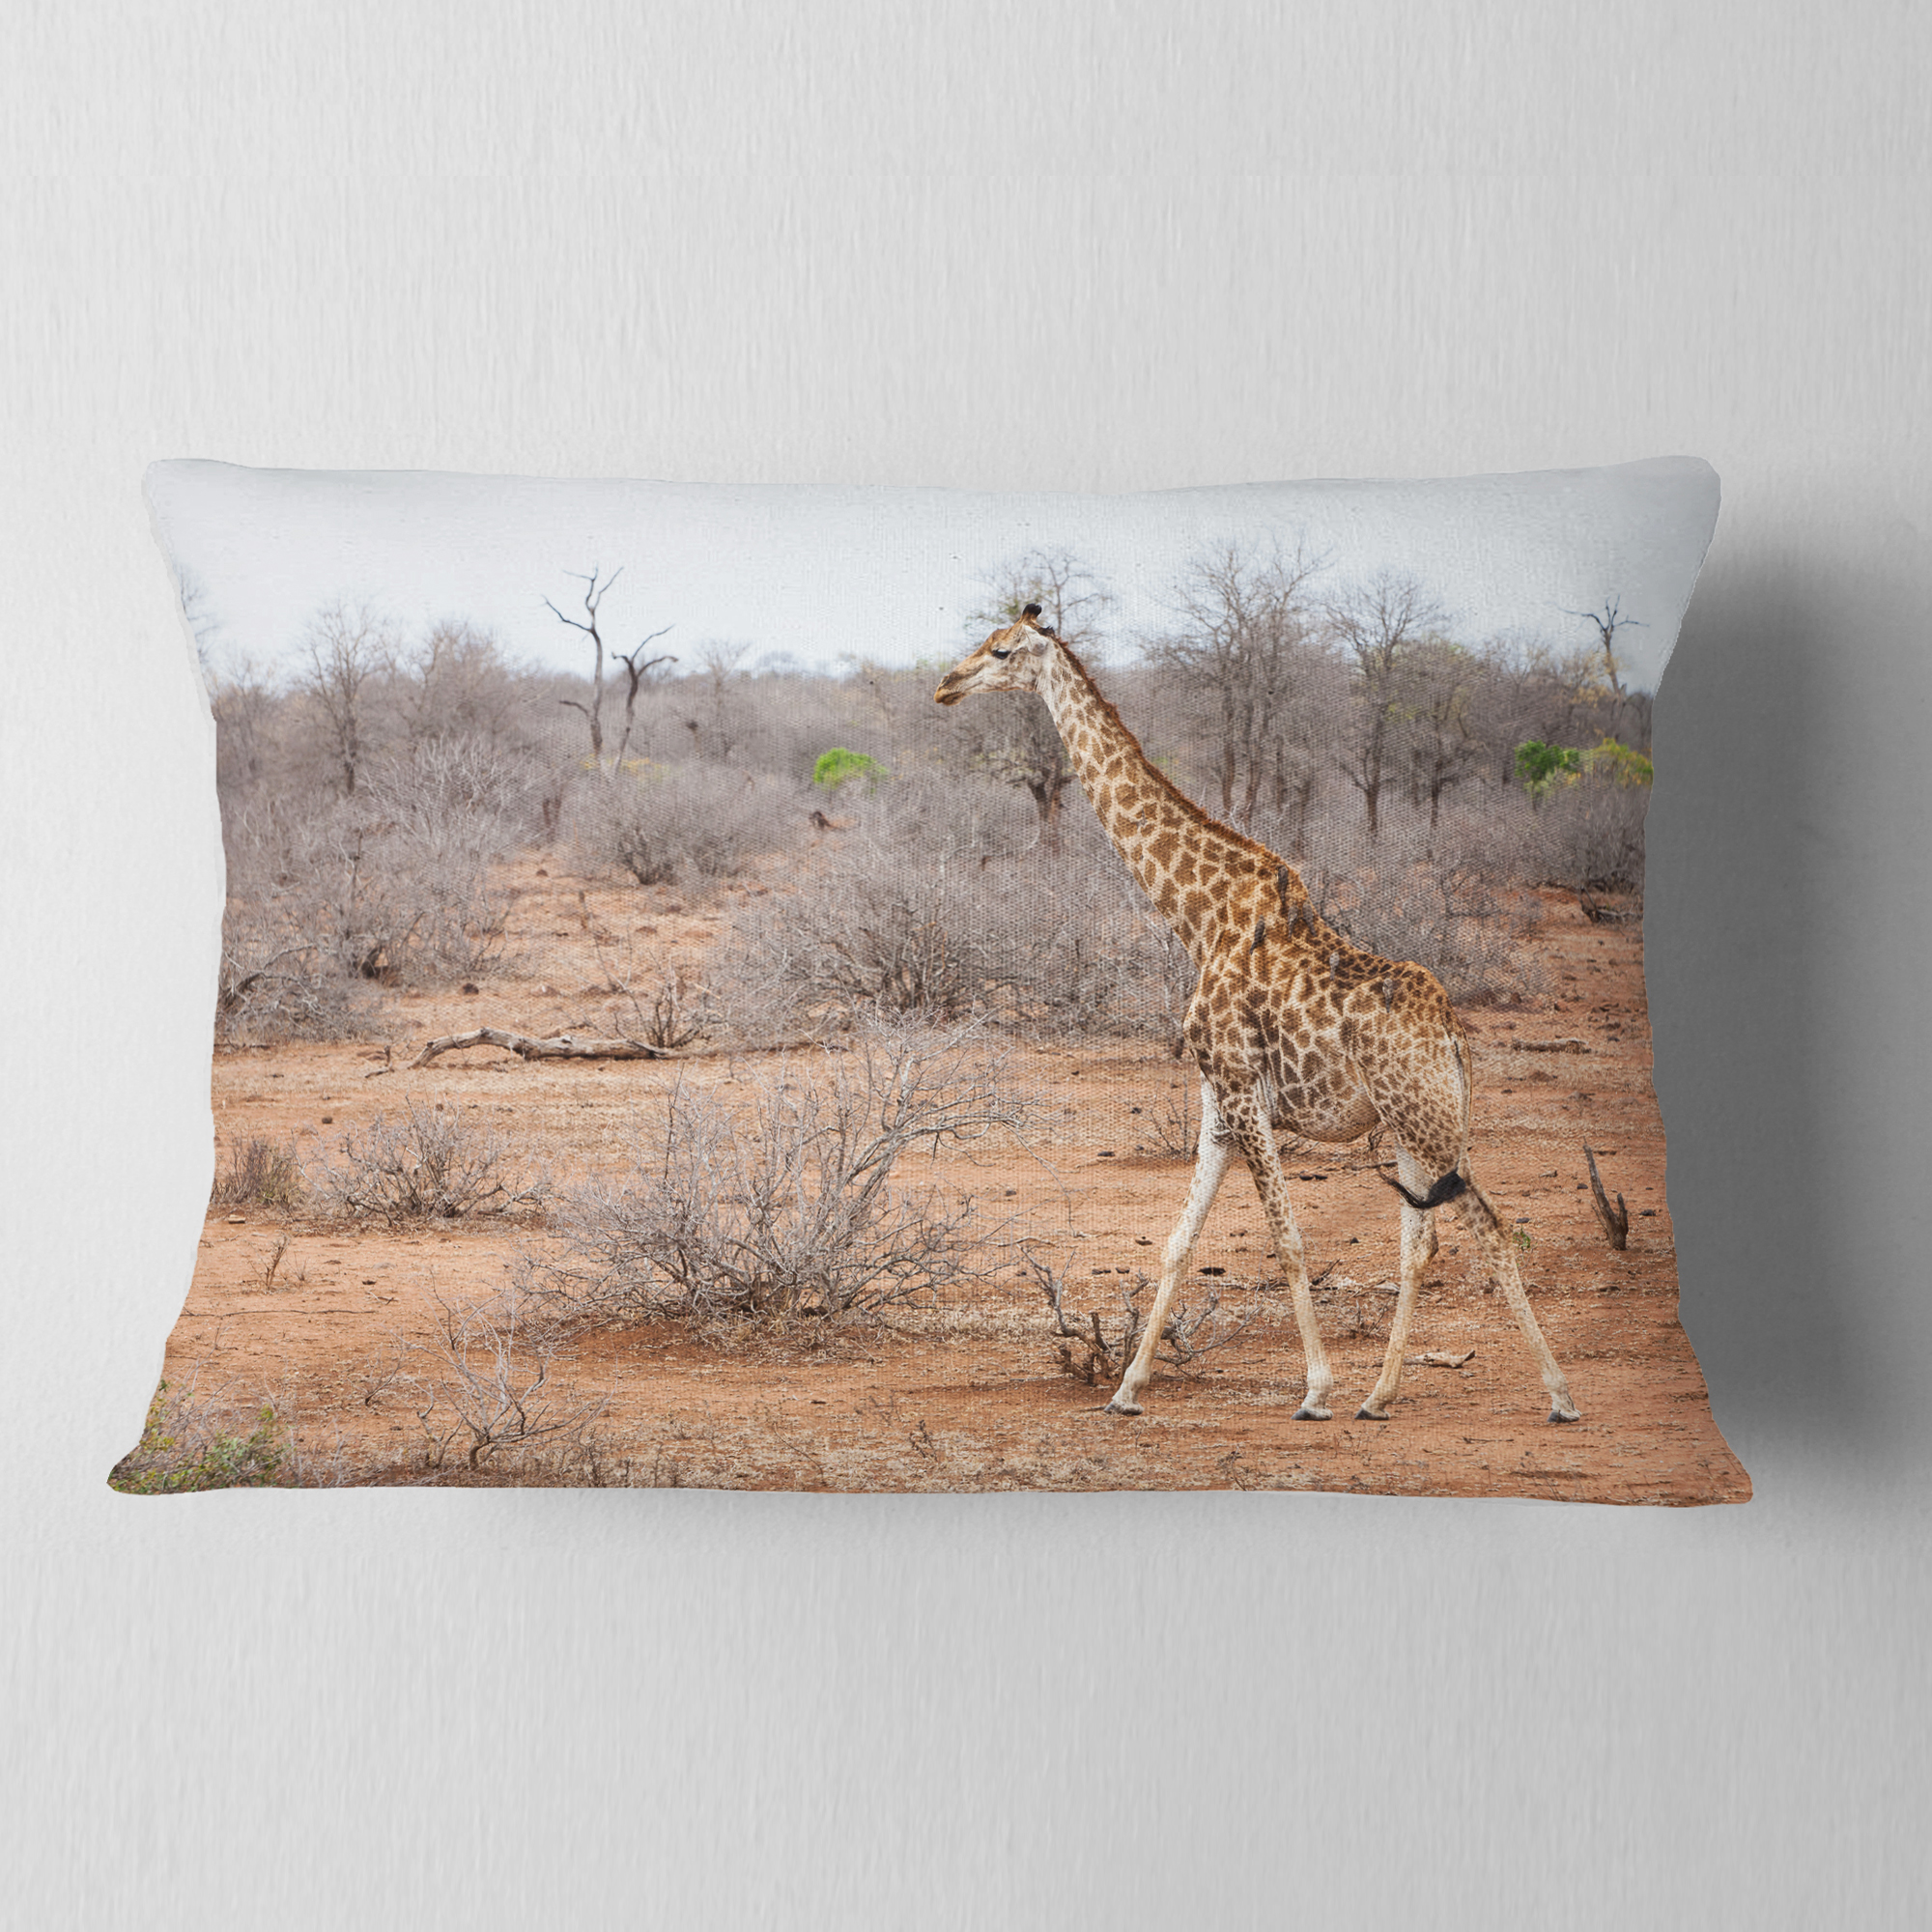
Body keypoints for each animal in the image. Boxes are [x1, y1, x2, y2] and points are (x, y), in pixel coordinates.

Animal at [935, 604, 1580, 1425]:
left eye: (1001, 651)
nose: (945, 685)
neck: (1199, 917)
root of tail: (1453, 1036)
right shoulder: (1218, 1099)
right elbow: (1178, 1242)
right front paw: (1126, 1391)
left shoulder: (1243, 1089)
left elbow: (1288, 1240)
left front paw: (1315, 1390)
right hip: (1415, 1126)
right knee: (1422, 1244)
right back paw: (1381, 1395)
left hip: (1427, 1122)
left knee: (1492, 1232)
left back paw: (1557, 1396)